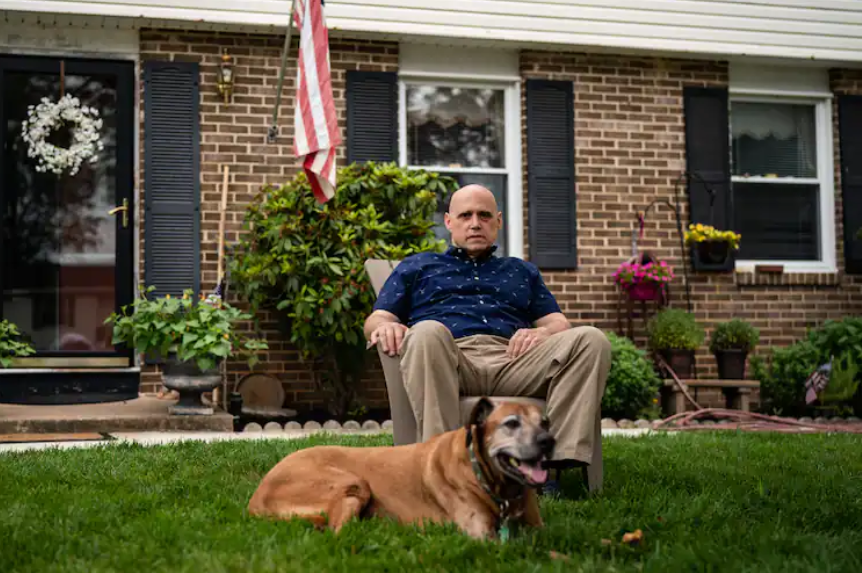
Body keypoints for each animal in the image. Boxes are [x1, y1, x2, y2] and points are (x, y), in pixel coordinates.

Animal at [247, 397, 556, 540]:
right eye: (511, 423)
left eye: (546, 422)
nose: (548, 441)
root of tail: (256, 497)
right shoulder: (481, 535)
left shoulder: (539, 529)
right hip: (353, 483)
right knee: (338, 532)